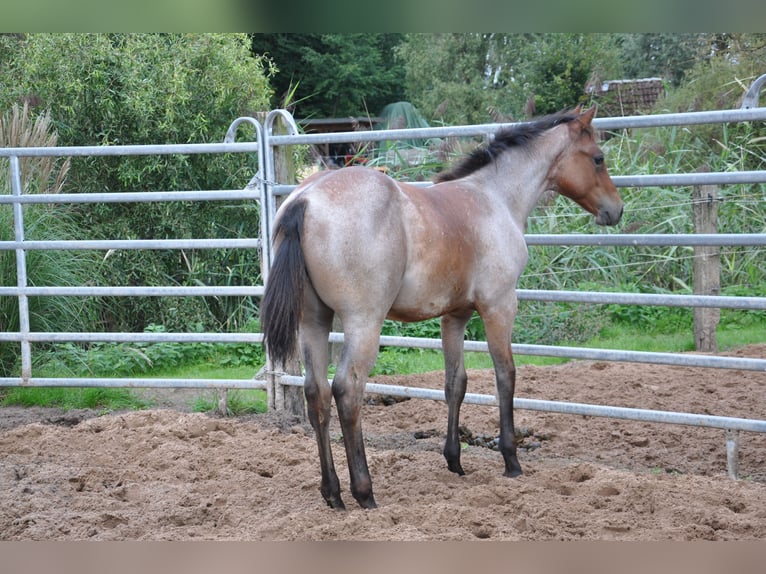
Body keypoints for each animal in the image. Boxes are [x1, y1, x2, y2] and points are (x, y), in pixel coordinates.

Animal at [260, 106, 623, 510]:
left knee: (317, 394)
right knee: (347, 392)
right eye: (598, 158)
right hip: (363, 323)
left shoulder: (455, 315)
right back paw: (364, 492)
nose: (616, 209)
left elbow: (455, 383)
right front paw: (511, 459)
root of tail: (305, 200)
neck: (494, 198)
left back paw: (333, 493)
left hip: (314, 322)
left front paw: (454, 460)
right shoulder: (499, 305)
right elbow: (505, 376)